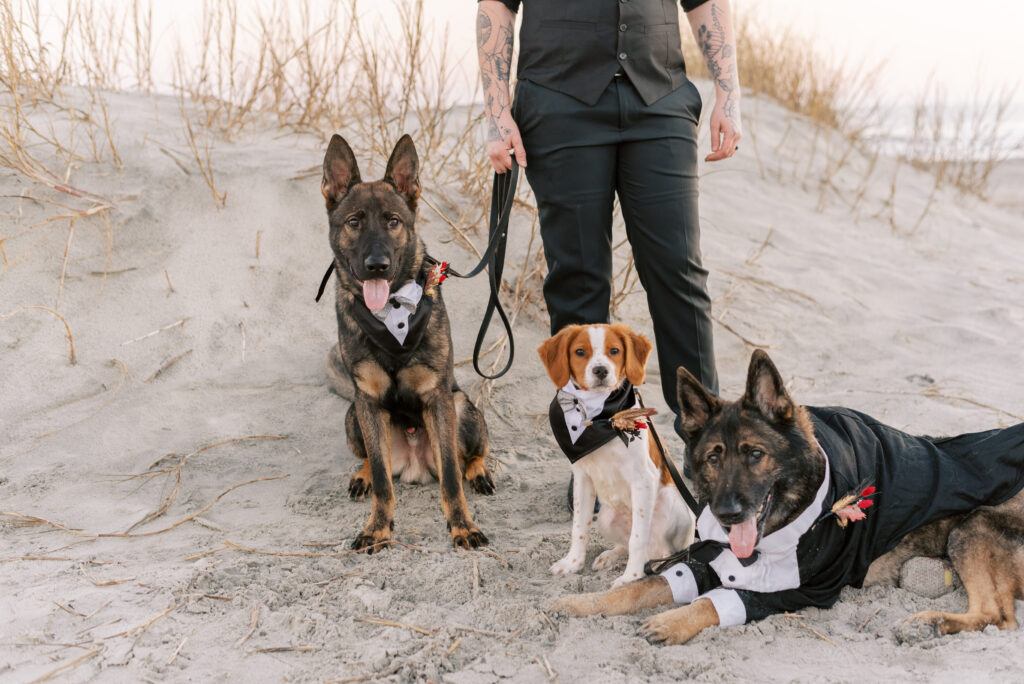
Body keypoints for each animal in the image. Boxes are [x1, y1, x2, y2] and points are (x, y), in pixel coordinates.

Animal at [536, 321, 696, 589]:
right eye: (580, 352)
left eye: (614, 351)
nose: (601, 370)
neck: (602, 420)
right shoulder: (582, 479)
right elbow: (579, 526)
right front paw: (572, 563)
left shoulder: (643, 480)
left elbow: (638, 539)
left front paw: (631, 577)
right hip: (606, 517)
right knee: (628, 545)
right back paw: (610, 555)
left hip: (675, 508)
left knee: (661, 550)